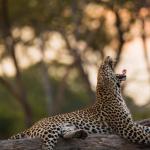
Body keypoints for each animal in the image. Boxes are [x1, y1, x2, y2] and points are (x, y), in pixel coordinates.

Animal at [10, 56, 150, 149]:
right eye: (103, 66)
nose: (108, 56)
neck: (116, 92)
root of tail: (32, 126)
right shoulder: (126, 127)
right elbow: (146, 135)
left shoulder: (131, 123)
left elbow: (146, 128)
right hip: (50, 130)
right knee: (46, 146)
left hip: (66, 126)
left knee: (65, 135)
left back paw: (80, 133)